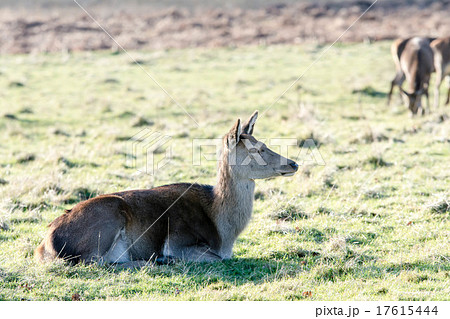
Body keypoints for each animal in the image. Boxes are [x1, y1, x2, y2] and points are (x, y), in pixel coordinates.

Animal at [35, 112, 298, 268]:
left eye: (264, 144)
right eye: (257, 149)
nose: (293, 163)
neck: (224, 232)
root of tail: (47, 245)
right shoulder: (180, 241)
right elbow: (215, 260)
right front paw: (167, 257)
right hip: (106, 221)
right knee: (95, 262)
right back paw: (154, 261)